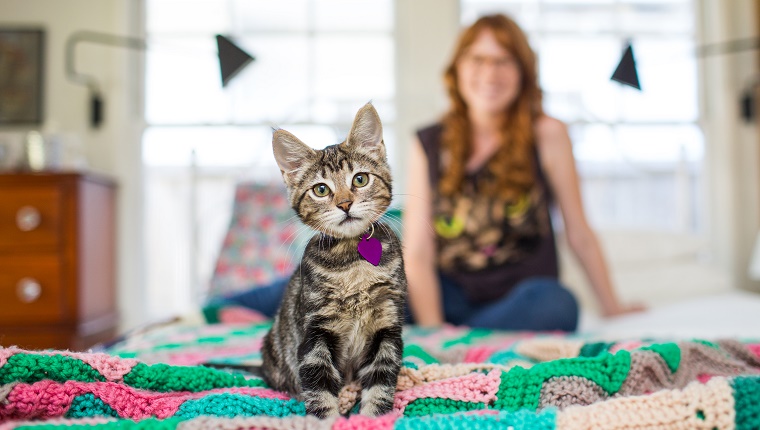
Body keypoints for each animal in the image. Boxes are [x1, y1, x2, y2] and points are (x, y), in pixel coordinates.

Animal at [262, 101, 406, 416]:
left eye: (360, 179)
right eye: (321, 189)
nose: (345, 204)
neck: (353, 263)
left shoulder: (387, 324)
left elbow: (381, 378)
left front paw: (372, 418)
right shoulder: (315, 330)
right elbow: (318, 381)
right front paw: (327, 418)